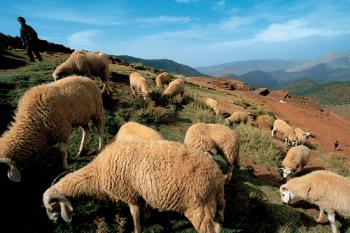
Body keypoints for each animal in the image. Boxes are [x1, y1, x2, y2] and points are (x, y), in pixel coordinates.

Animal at [42, 140, 226, 233]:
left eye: (51, 207)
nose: (53, 221)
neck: (98, 174)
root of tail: (217, 177)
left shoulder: (129, 194)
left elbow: (134, 215)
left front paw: (138, 229)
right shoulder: (138, 193)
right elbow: (143, 208)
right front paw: (148, 216)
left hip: (197, 207)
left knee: (207, 229)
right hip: (212, 205)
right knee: (217, 225)